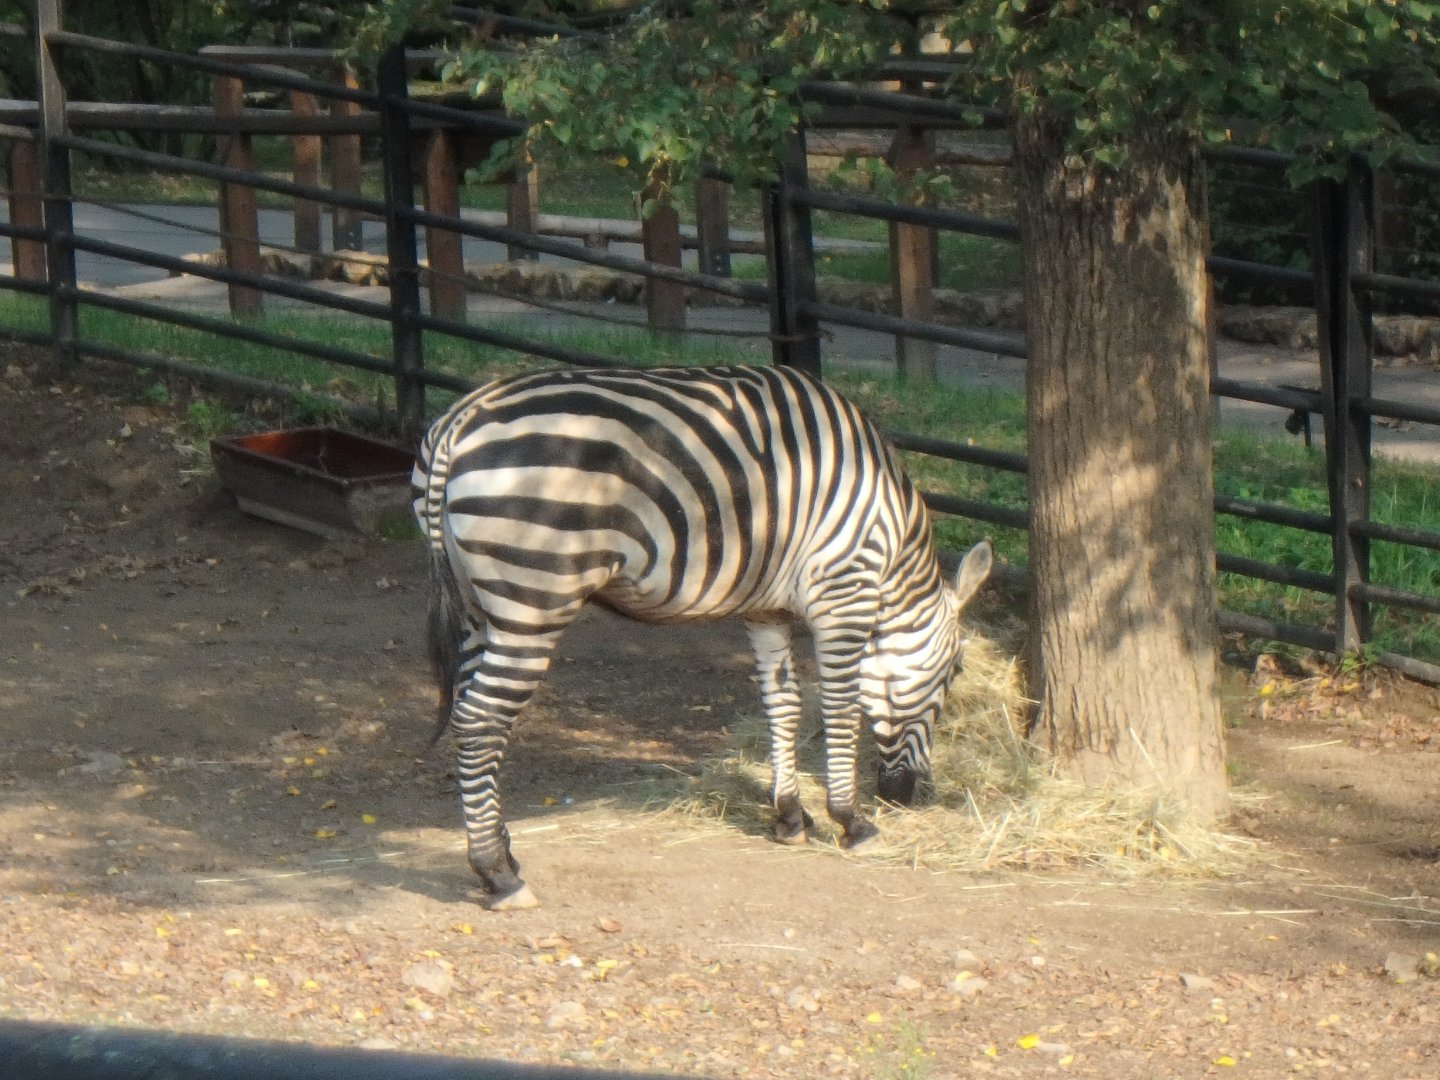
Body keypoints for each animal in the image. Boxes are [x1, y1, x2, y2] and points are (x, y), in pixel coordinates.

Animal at [413, 364, 992, 910]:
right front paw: (851, 820)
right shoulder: (843, 592)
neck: (890, 544)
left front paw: (790, 817)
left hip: (478, 605)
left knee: (469, 711)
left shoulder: (767, 606)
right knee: (480, 719)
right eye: (955, 675)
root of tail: (461, 418)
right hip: (533, 596)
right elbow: (840, 709)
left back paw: (502, 853)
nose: (911, 797)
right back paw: (498, 873)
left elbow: (783, 703)